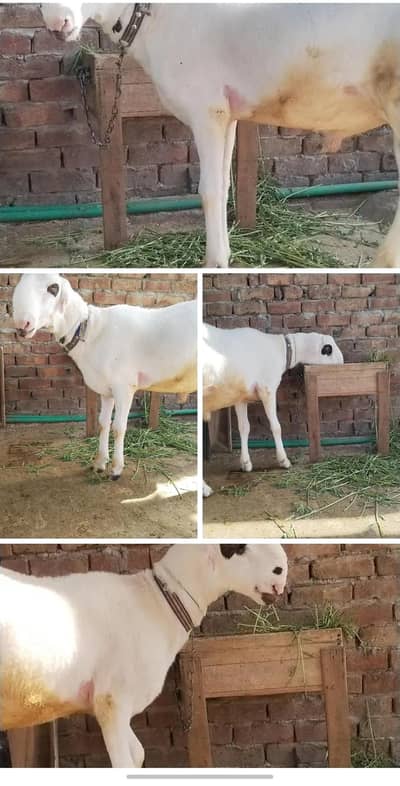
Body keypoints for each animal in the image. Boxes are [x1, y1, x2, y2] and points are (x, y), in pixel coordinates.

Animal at [0, 543, 288, 768]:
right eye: (237, 547)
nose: (282, 570)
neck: (158, 602)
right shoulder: (112, 700)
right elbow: (124, 763)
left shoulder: (119, 704)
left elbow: (138, 754)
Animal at [12, 273, 196, 479]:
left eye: (54, 288)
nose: (22, 324)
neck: (90, 331)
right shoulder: (106, 389)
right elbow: (103, 424)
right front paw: (100, 463)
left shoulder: (124, 387)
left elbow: (118, 428)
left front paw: (116, 468)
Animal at [41, 3, 400, 268]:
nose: (57, 22)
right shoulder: (227, 115)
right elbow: (225, 186)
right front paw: (224, 255)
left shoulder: (207, 110)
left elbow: (209, 190)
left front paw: (213, 263)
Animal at [203, 324, 344, 494]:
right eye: (330, 351)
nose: (343, 365)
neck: (282, 349)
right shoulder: (267, 389)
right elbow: (276, 427)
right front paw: (284, 460)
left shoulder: (241, 397)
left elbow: (244, 427)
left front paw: (246, 463)